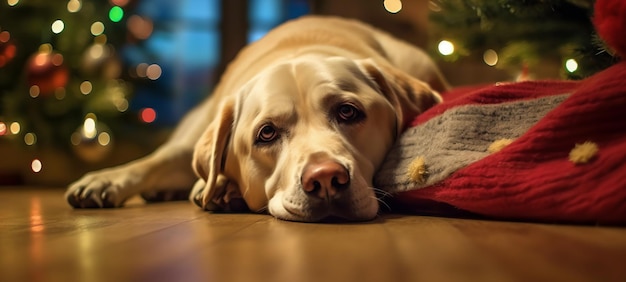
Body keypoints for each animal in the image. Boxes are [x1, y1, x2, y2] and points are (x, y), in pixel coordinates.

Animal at [66, 16, 446, 223]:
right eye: (266, 133)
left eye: (348, 112)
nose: (325, 178)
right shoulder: (194, 140)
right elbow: (153, 162)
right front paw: (103, 181)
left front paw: (218, 189)